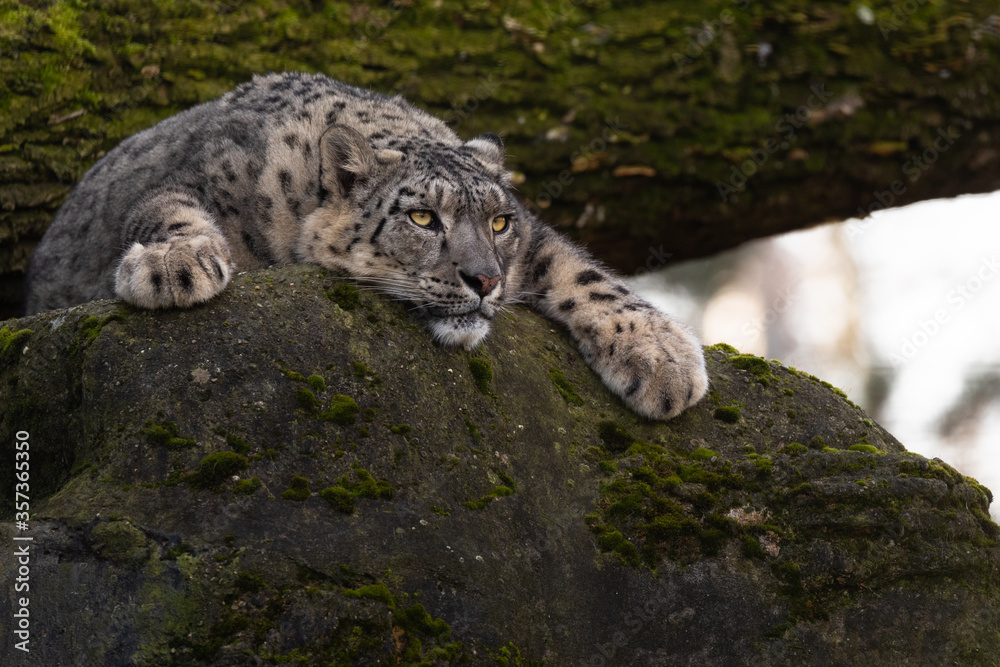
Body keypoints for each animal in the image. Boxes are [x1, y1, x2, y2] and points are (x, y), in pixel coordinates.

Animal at [24, 71, 707, 420]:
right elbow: (167, 211)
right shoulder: (192, 180)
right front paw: (174, 266)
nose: (485, 280)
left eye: (500, 223)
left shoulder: (537, 241)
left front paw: (666, 362)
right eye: (423, 217)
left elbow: (579, 269)